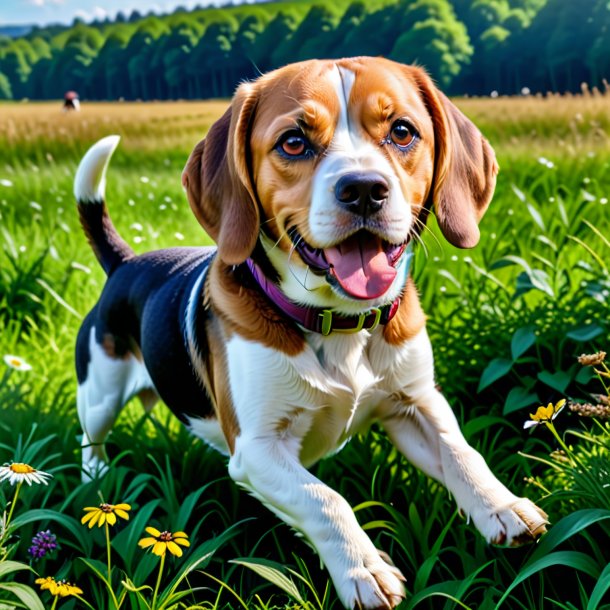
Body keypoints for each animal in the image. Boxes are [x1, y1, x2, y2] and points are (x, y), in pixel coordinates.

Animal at [72, 58, 548, 608]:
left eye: (402, 132)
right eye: (294, 142)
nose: (364, 189)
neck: (339, 320)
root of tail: (125, 263)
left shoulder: (415, 402)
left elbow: (460, 452)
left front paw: (502, 505)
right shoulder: (257, 450)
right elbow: (325, 500)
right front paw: (364, 569)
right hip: (100, 392)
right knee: (91, 439)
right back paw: (97, 480)